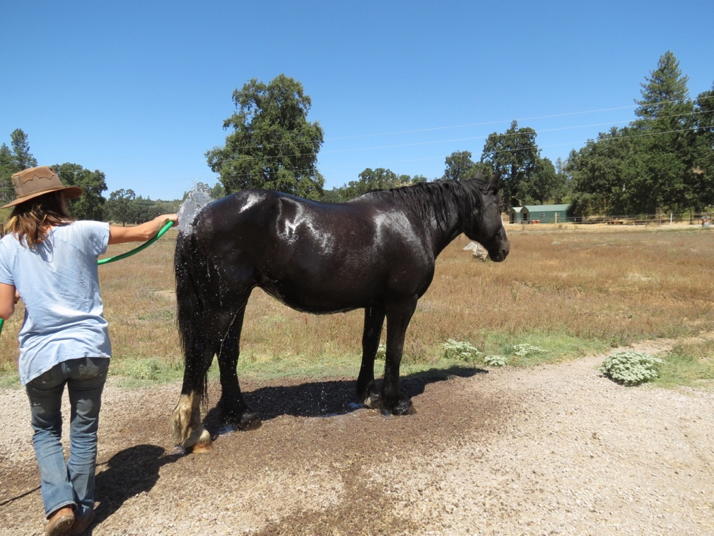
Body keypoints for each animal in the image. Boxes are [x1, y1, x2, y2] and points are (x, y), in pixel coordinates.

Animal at [171, 174, 506, 450]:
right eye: (498, 204)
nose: (504, 249)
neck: (412, 221)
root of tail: (195, 220)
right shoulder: (402, 302)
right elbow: (395, 349)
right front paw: (397, 402)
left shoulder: (376, 303)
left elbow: (370, 345)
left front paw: (368, 394)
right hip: (224, 305)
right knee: (202, 353)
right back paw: (194, 431)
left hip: (235, 304)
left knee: (226, 354)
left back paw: (241, 416)